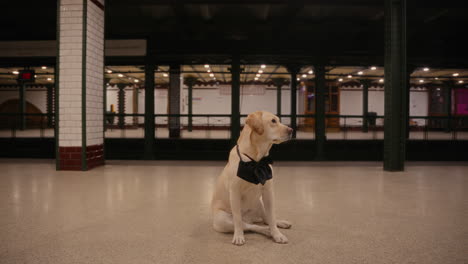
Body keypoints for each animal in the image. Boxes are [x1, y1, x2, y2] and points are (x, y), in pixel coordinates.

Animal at [212, 110, 292, 245]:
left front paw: (277, 234)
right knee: (250, 226)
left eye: (279, 120)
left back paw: (279, 224)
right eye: (273, 121)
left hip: (260, 202)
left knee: (266, 219)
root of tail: (250, 218)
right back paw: (265, 231)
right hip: (222, 220)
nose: (291, 130)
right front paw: (238, 236)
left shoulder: (268, 192)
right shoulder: (234, 193)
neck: (256, 160)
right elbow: (238, 219)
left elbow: (272, 217)